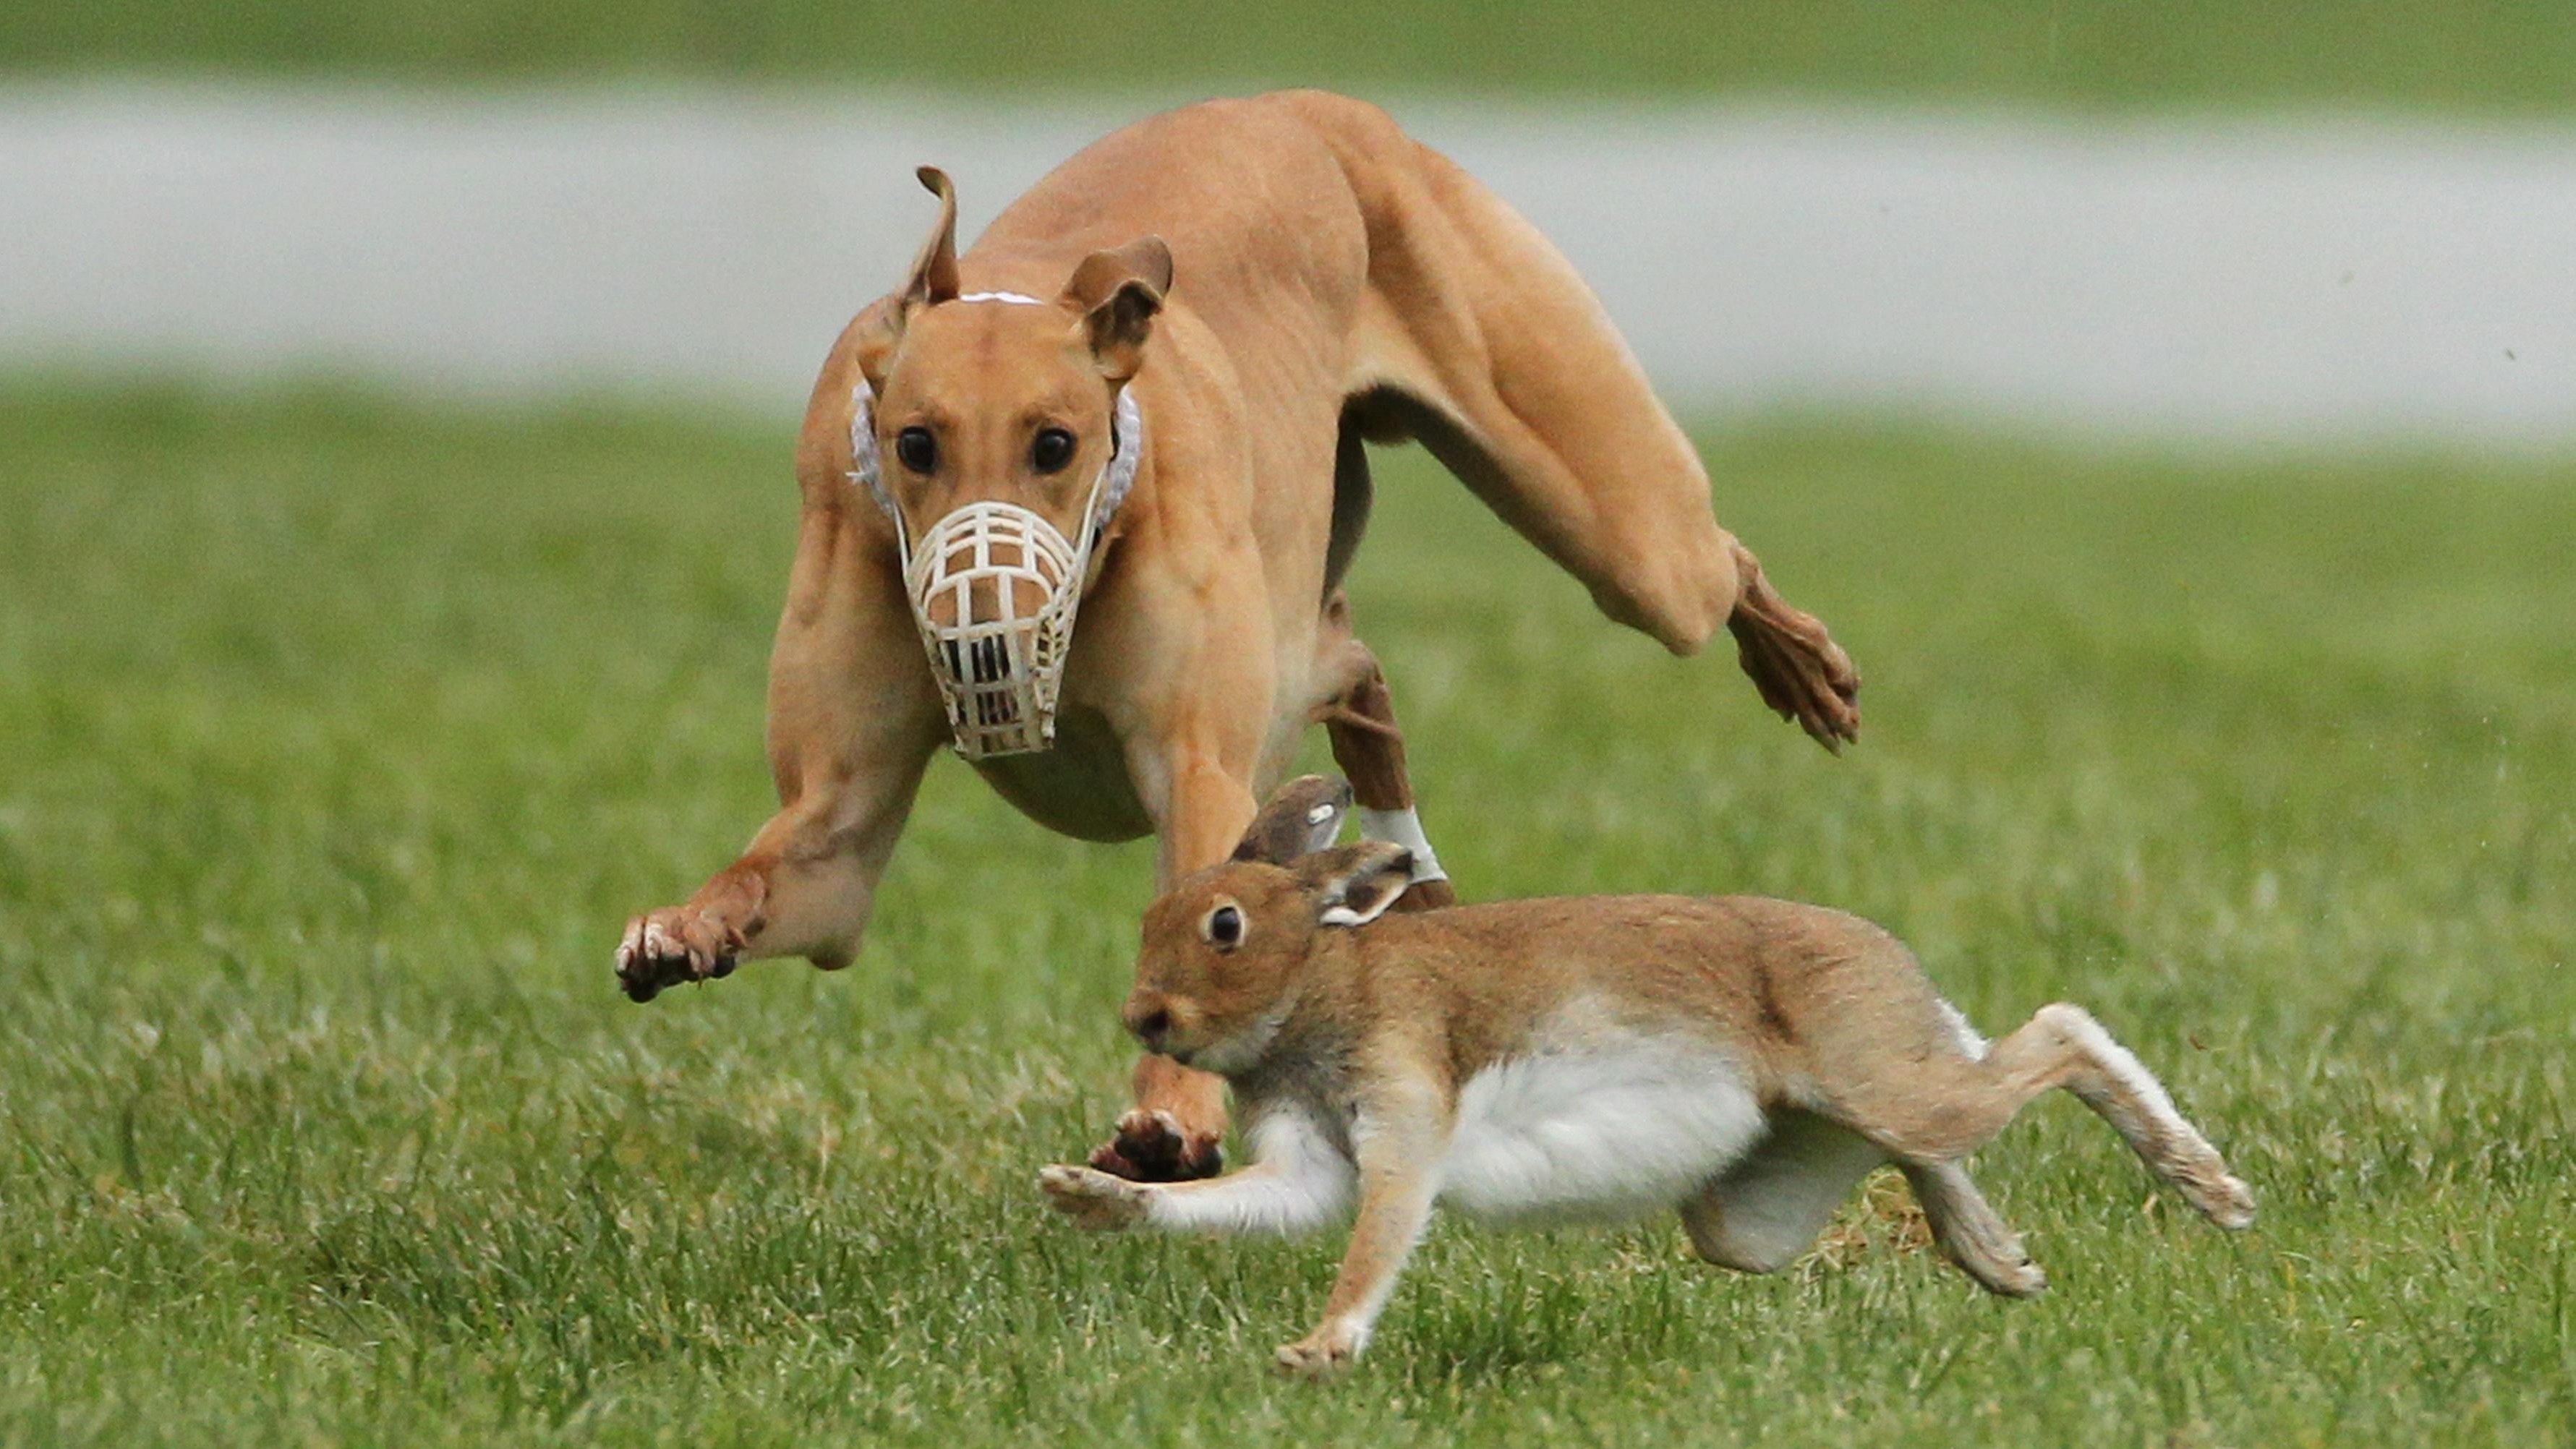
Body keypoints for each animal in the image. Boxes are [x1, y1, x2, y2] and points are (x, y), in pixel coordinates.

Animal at [613, 87, 1864, 1179]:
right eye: (914, 443)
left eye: (1055, 444)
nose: (981, 635)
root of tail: (1309, 106)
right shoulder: (839, 832)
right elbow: (789, 872)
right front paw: (683, 930)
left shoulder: (1199, 768)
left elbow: (1208, 887)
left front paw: (1168, 1117)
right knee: (1354, 665)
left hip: (1614, 526)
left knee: (1703, 565)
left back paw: (1802, 666)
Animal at [1046, 777, 2256, 1379]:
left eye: (1224, 926)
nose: (1143, 1015)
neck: (1317, 982)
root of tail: (1892, 966)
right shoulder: (1309, 1159)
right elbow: (1250, 1205)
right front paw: (1089, 1195)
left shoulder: (1402, 1106)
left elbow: (1376, 1237)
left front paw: (1319, 1350)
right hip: (1766, 1192)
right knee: (1913, 1156)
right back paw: (2000, 1262)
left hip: (1887, 1081)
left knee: (2055, 1038)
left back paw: (2209, 1189)